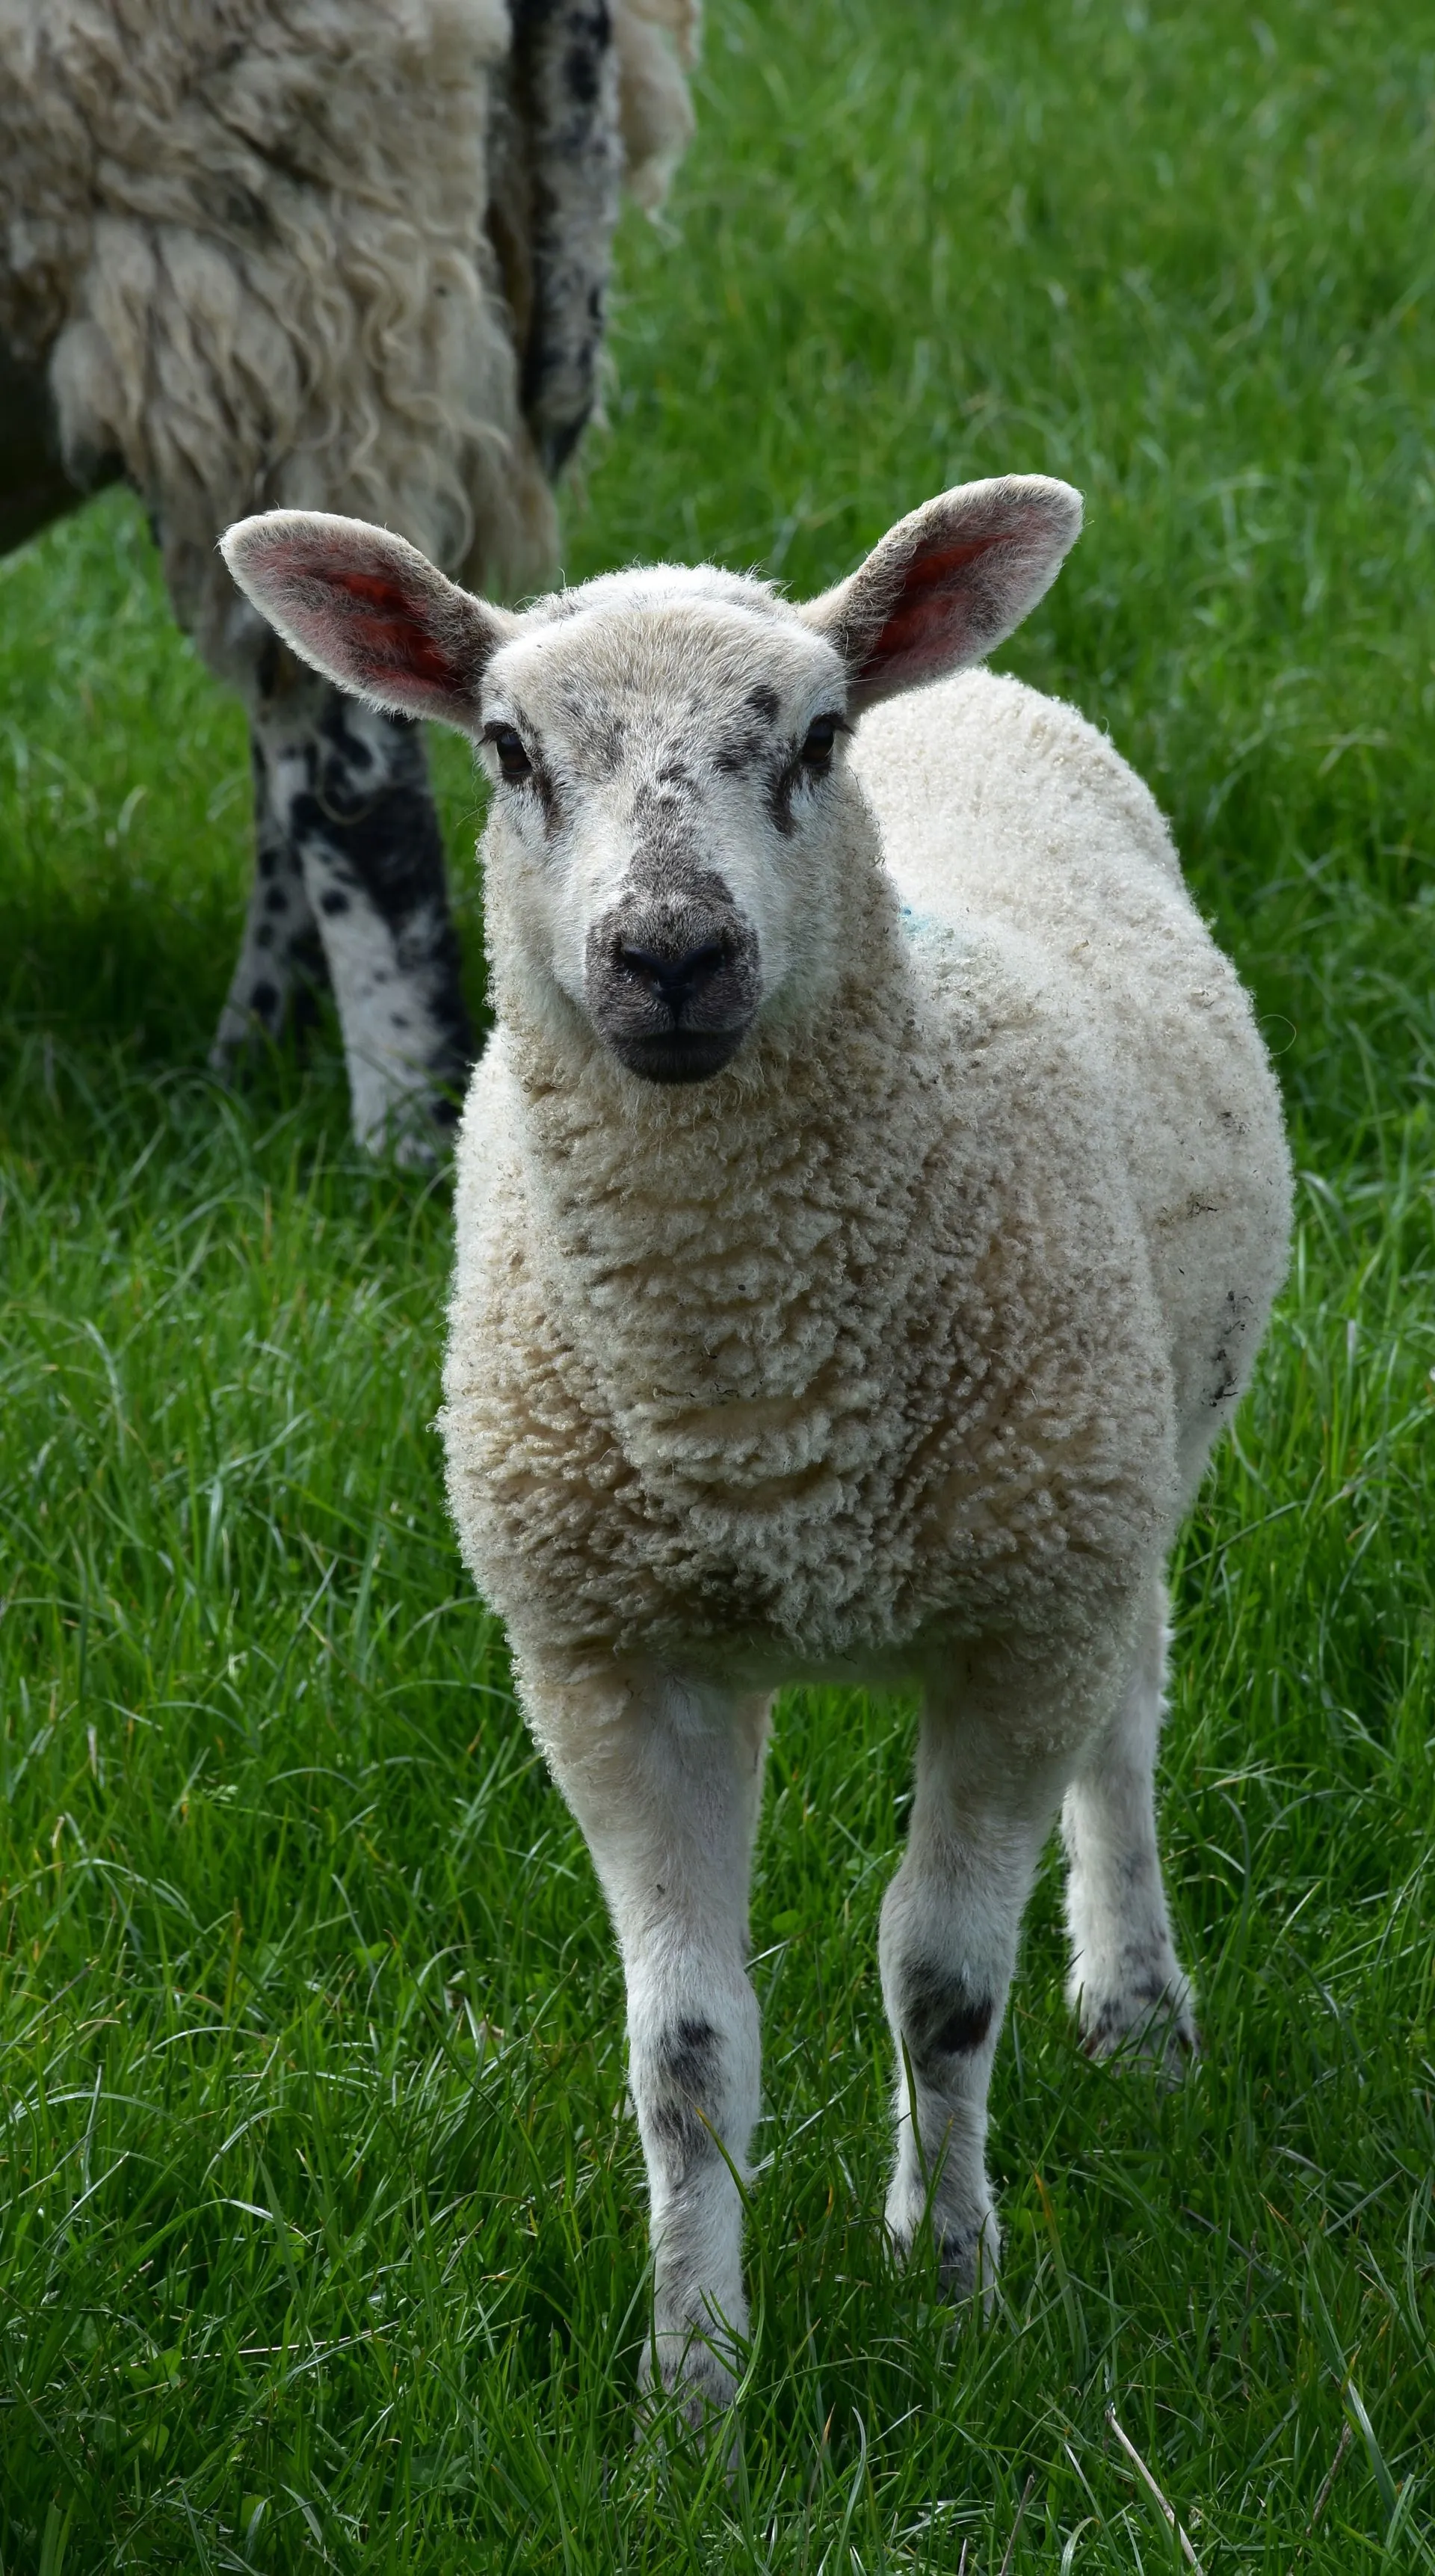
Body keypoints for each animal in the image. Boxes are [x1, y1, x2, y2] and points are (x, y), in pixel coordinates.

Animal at [221, 475, 1293, 2421]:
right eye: (504, 747)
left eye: (806, 739)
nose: (670, 956)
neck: (750, 1396)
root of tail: (944, 670)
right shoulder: (605, 1659)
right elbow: (685, 2045)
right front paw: (695, 2382)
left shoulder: (1014, 1627)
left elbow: (940, 1982)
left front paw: (949, 2281)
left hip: (1121, 1467)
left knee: (1128, 1719)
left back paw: (1136, 2007)